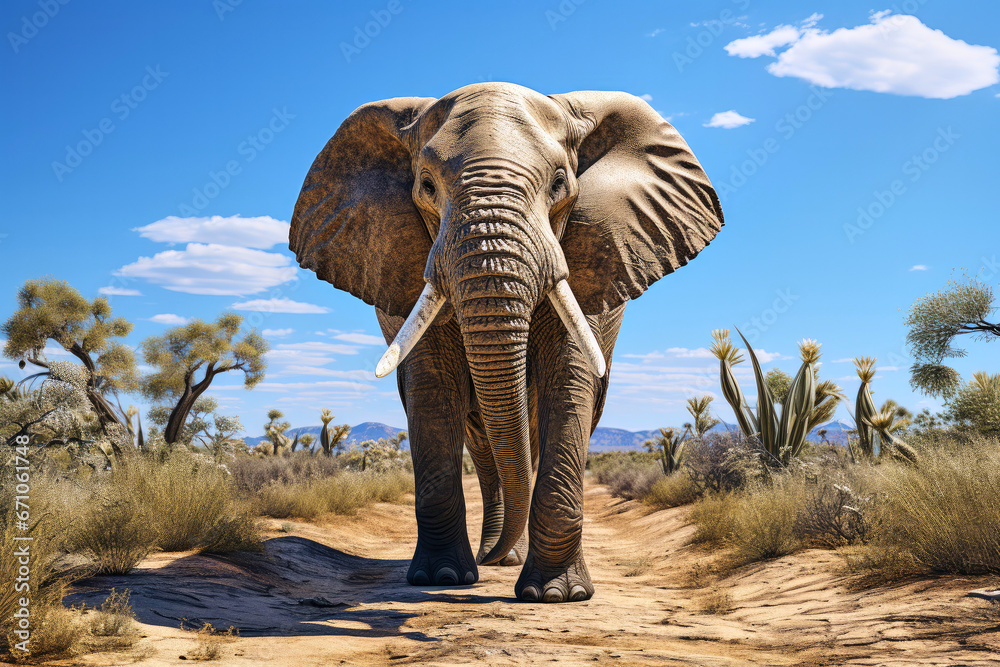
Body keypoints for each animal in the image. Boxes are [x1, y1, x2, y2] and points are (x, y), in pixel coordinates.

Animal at [289, 82, 724, 602]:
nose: (489, 559)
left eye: (559, 183)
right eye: (427, 187)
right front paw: (441, 579)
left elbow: (570, 384)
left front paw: (556, 595)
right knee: (482, 443)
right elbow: (432, 391)